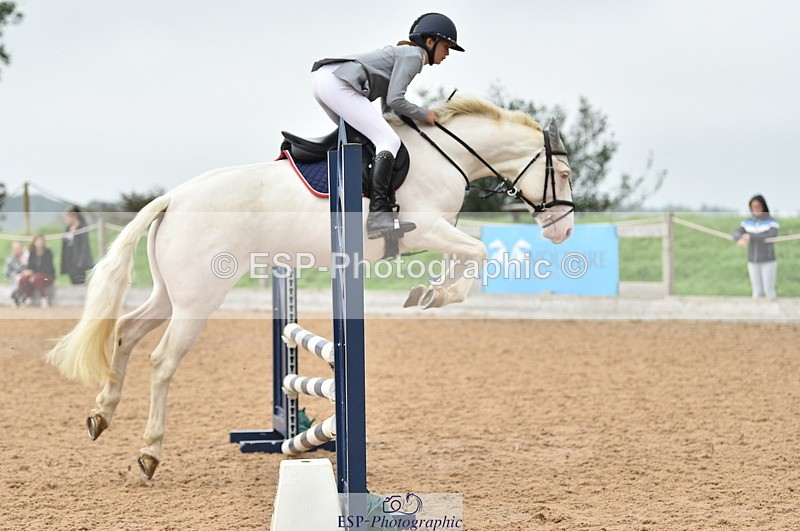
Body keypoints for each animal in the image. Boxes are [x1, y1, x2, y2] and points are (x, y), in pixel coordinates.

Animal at [45, 97, 574, 479]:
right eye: (565, 173)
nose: (563, 230)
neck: (447, 157)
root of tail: (173, 197)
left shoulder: (438, 233)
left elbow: (468, 257)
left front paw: (429, 292)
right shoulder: (426, 228)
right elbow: (478, 253)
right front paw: (433, 295)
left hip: (169, 294)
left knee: (125, 332)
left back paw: (101, 414)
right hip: (199, 298)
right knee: (161, 360)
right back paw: (149, 452)